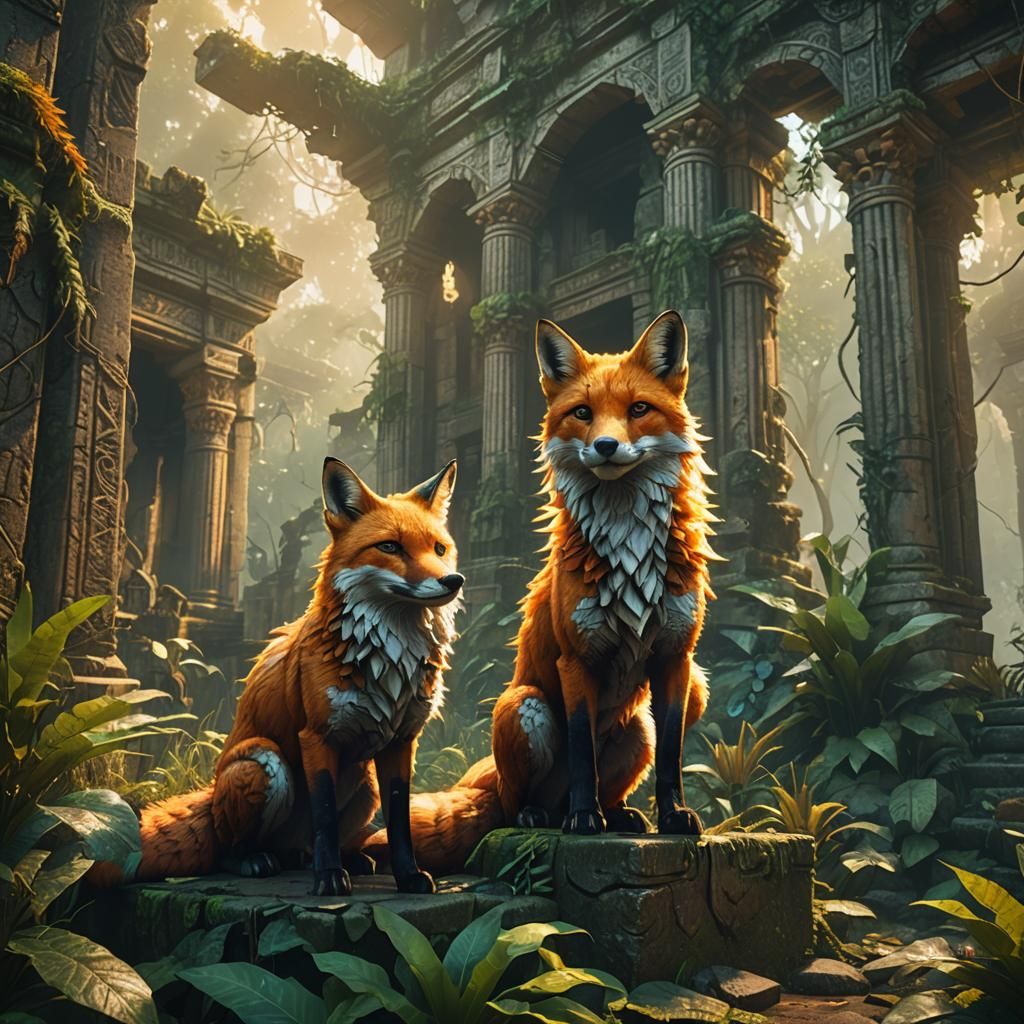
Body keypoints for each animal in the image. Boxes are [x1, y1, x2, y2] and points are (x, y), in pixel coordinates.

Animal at [96, 458, 464, 896]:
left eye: (439, 549)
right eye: (390, 546)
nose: (452, 581)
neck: (386, 663)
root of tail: (211, 793)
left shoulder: (401, 741)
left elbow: (399, 820)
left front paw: (407, 876)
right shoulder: (315, 736)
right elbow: (324, 816)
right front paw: (329, 878)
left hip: (365, 783)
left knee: (306, 847)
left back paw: (346, 860)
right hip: (263, 762)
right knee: (230, 845)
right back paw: (257, 860)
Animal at [364, 309, 717, 875]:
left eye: (639, 410)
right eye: (582, 413)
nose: (605, 446)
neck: (629, 550)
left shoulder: (676, 657)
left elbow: (671, 757)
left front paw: (673, 816)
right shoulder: (575, 660)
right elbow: (580, 750)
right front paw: (583, 819)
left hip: (661, 709)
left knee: (622, 779)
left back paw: (620, 814)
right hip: (524, 705)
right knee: (519, 801)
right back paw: (547, 815)